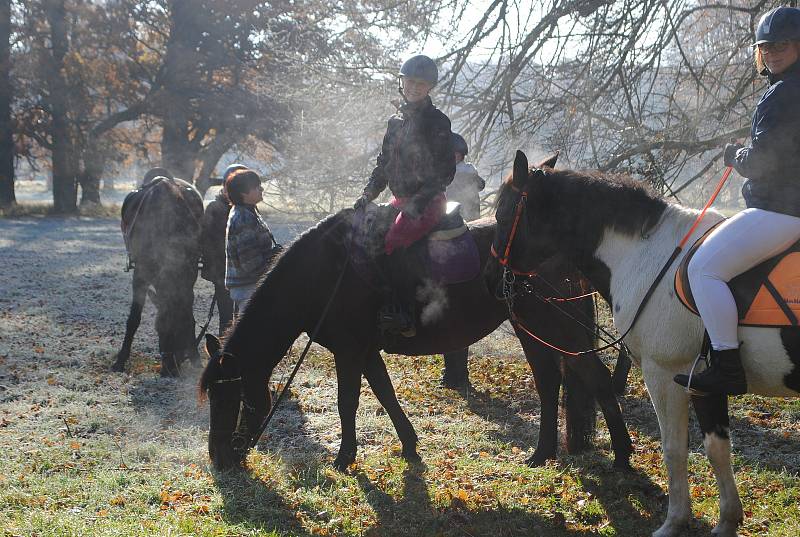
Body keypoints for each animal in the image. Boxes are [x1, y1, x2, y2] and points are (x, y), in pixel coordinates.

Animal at [198, 157, 632, 472]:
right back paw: (542, 455)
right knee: (548, 383)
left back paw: (622, 457)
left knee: (597, 379)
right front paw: (408, 445)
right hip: (532, 330)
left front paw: (344, 458)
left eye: (231, 396)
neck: (325, 274)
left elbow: (347, 402)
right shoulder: (364, 351)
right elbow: (385, 393)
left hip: (556, 328)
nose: (220, 460)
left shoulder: (348, 351)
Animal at [490, 151, 800, 536]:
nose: (491, 278)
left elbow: (674, 448)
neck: (648, 255)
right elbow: (717, 449)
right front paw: (727, 520)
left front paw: (674, 521)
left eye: (503, 215)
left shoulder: (664, 374)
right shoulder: (702, 382)